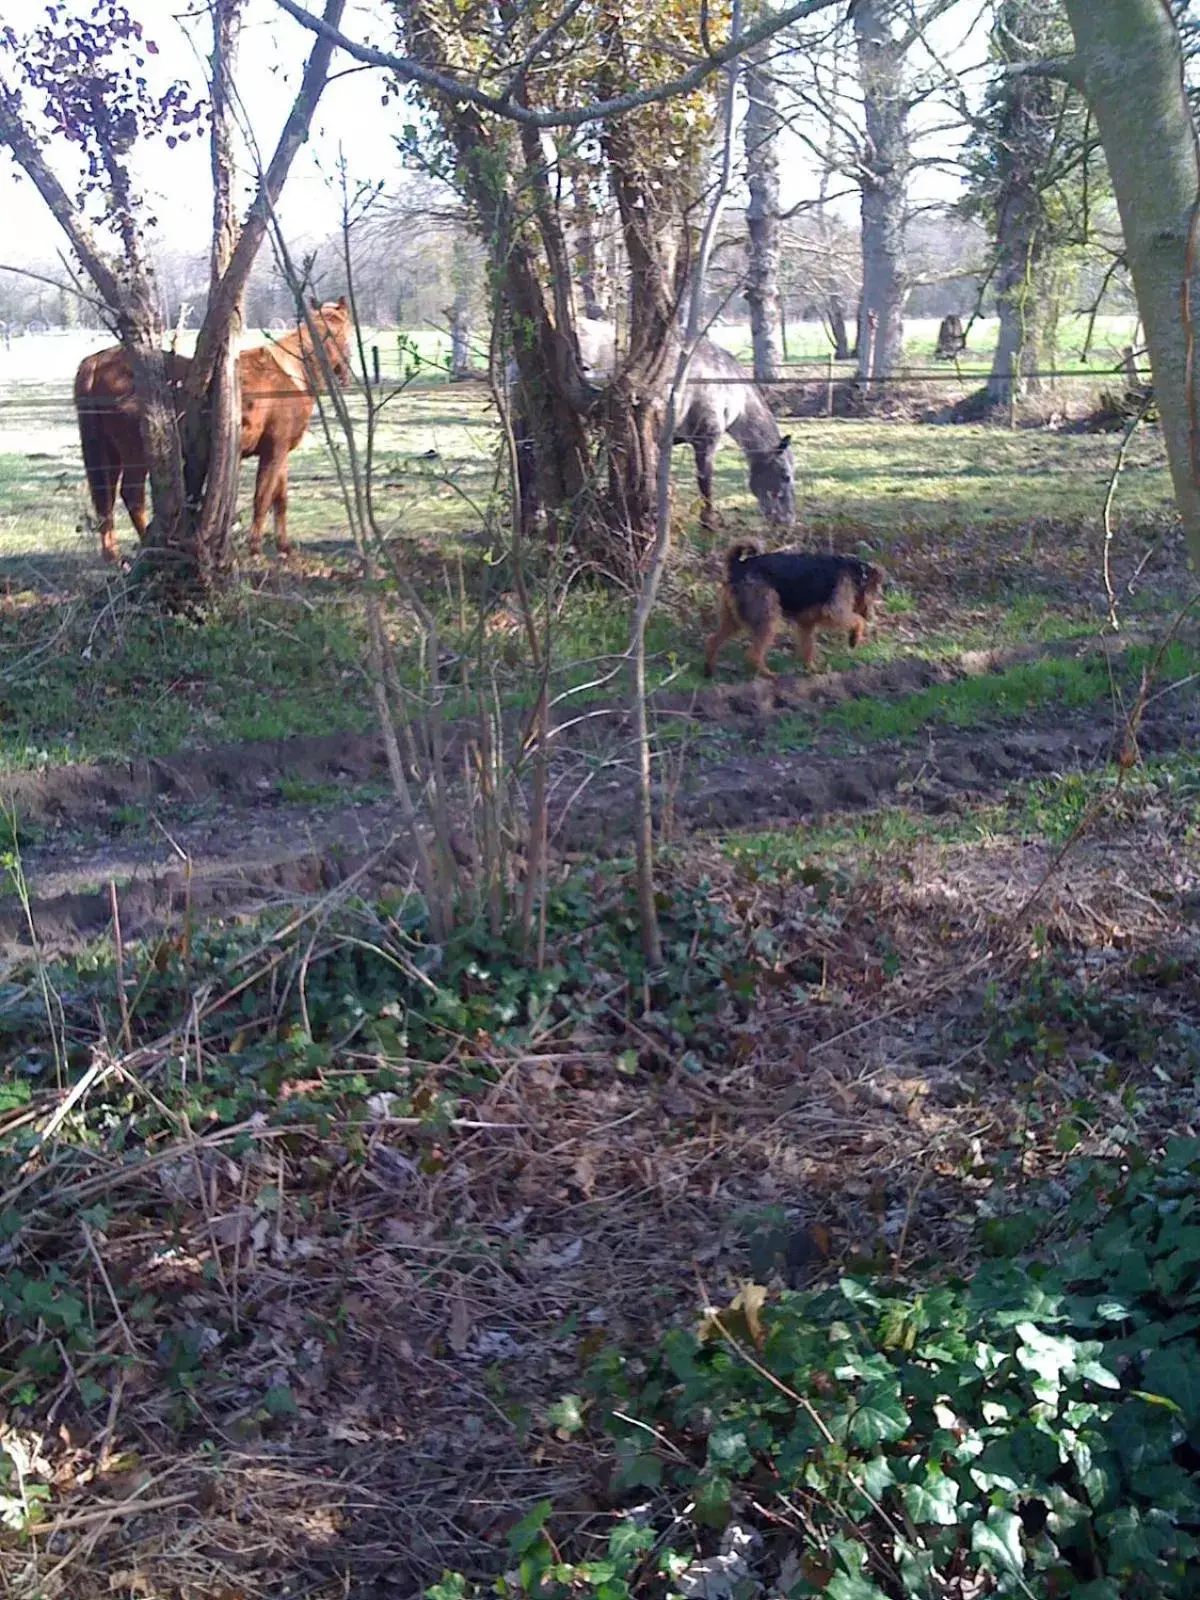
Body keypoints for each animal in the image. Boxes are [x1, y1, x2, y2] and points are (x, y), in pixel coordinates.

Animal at [74, 299, 352, 563]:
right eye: (346, 333)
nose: (345, 376)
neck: (290, 373)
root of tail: (97, 362)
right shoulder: (273, 452)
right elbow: (262, 499)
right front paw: (256, 550)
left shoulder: (280, 452)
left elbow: (279, 499)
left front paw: (284, 549)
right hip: (136, 456)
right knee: (132, 496)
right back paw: (149, 546)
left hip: (109, 455)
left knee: (106, 499)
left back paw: (114, 556)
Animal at [704, 544, 883, 681]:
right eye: (875, 593)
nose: (871, 616)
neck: (857, 573)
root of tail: (738, 566)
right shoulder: (834, 610)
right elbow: (858, 620)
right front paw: (854, 638)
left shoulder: (807, 622)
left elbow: (808, 647)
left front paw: (811, 669)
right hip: (768, 617)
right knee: (753, 654)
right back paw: (770, 675)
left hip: (733, 619)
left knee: (713, 640)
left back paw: (710, 671)